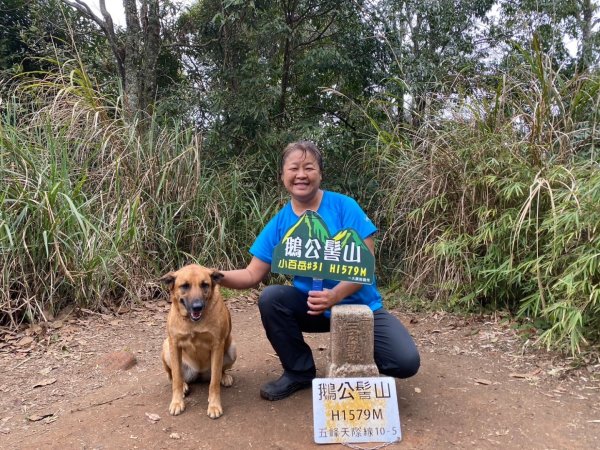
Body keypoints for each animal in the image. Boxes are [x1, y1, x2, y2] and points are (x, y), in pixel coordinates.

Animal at [159, 264, 237, 418]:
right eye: (185, 286)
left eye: (204, 285)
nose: (197, 306)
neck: (192, 322)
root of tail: (199, 374)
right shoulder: (174, 344)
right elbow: (176, 378)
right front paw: (177, 402)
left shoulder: (217, 345)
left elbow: (214, 383)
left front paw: (214, 405)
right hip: (167, 349)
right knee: (174, 375)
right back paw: (184, 385)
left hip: (232, 348)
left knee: (219, 372)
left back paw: (224, 377)